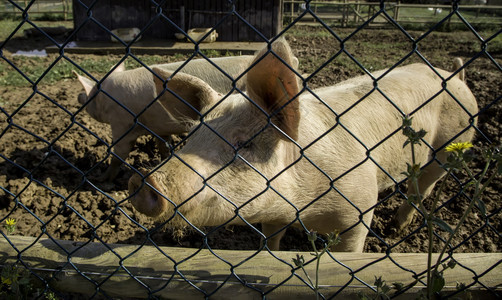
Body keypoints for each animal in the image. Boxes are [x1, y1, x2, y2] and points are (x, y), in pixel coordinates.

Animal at [74, 55, 255, 180]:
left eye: (88, 94)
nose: (79, 95)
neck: (104, 99)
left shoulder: (121, 122)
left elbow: (119, 154)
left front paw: (101, 179)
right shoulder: (159, 127)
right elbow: (163, 146)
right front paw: (161, 161)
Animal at [127, 39, 476, 251]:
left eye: (244, 143)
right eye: (191, 137)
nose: (145, 179)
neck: (301, 209)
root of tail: (454, 76)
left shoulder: (359, 212)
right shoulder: (273, 214)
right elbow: (271, 238)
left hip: (454, 144)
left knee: (425, 187)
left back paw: (394, 230)